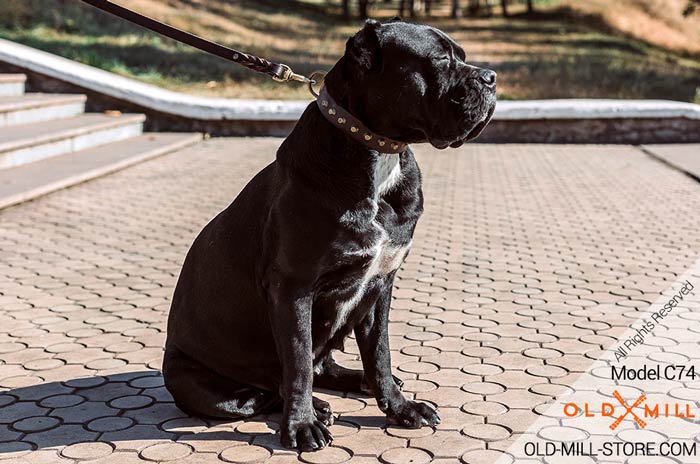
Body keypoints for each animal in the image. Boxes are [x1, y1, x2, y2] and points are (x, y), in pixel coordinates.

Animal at [164, 20, 494, 452]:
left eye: (463, 57)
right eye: (439, 59)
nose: (490, 78)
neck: (378, 153)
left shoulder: (381, 284)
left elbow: (380, 353)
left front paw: (400, 407)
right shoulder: (293, 290)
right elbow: (298, 364)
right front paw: (302, 425)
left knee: (321, 367)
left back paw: (356, 383)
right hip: (205, 385)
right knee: (268, 389)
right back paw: (316, 408)